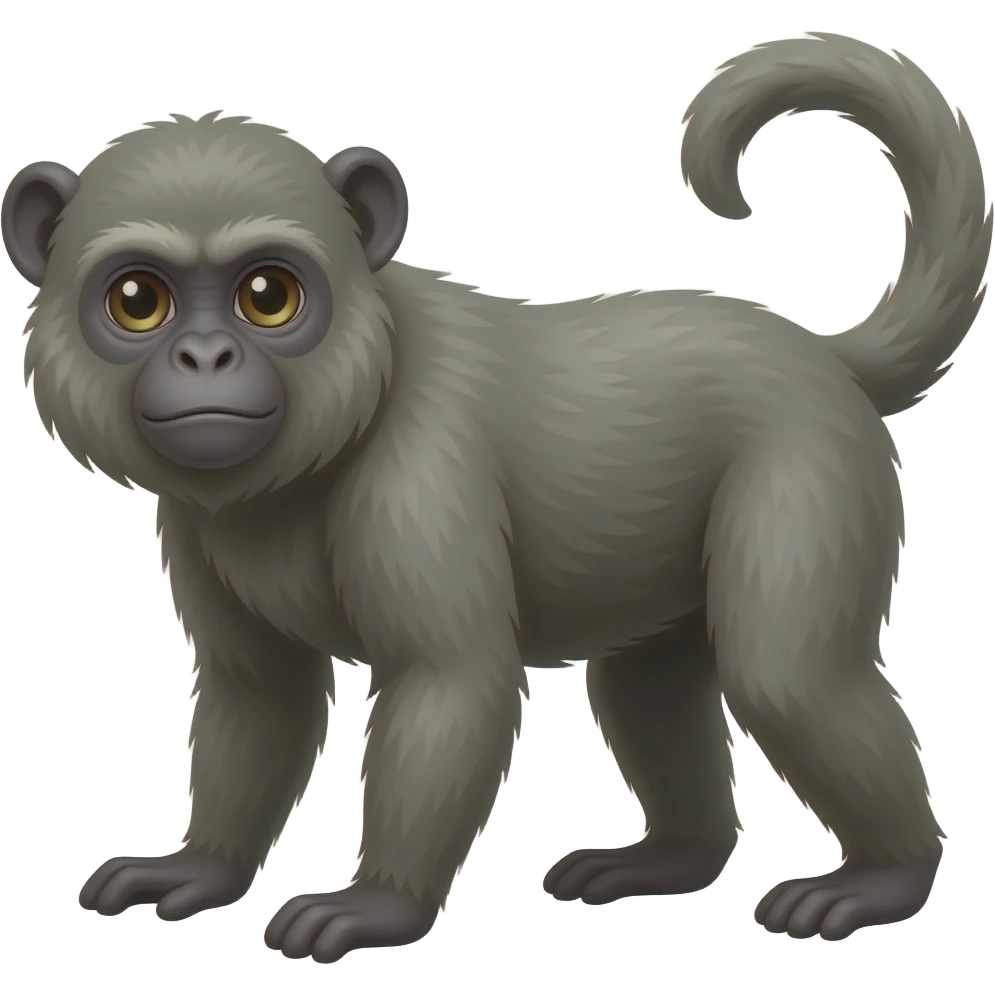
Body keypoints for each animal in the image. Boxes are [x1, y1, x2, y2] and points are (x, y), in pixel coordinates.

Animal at [5, 32, 987, 963]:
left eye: (267, 295)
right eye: (139, 300)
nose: (205, 357)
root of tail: (823, 358)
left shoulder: (419, 474)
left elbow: (449, 680)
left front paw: (378, 905)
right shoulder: (196, 520)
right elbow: (259, 693)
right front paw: (202, 865)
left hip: (810, 465)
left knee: (786, 675)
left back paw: (887, 876)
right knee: (647, 684)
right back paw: (673, 855)